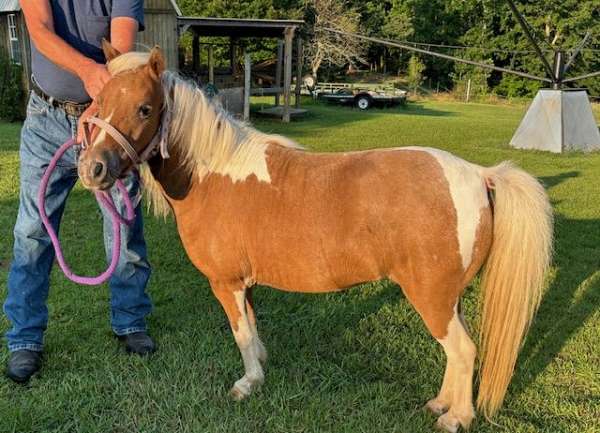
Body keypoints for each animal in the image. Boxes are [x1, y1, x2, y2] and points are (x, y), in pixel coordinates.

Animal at [79, 44, 552, 432]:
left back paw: (457, 417)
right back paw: (440, 404)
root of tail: (480, 175)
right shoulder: (245, 284)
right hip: (449, 297)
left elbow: (240, 333)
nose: (92, 169)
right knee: (458, 351)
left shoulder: (225, 283)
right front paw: (261, 368)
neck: (212, 175)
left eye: (145, 108)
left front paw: (247, 384)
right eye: (98, 103)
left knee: (464, 351)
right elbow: (252, 328)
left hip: (431, 296)